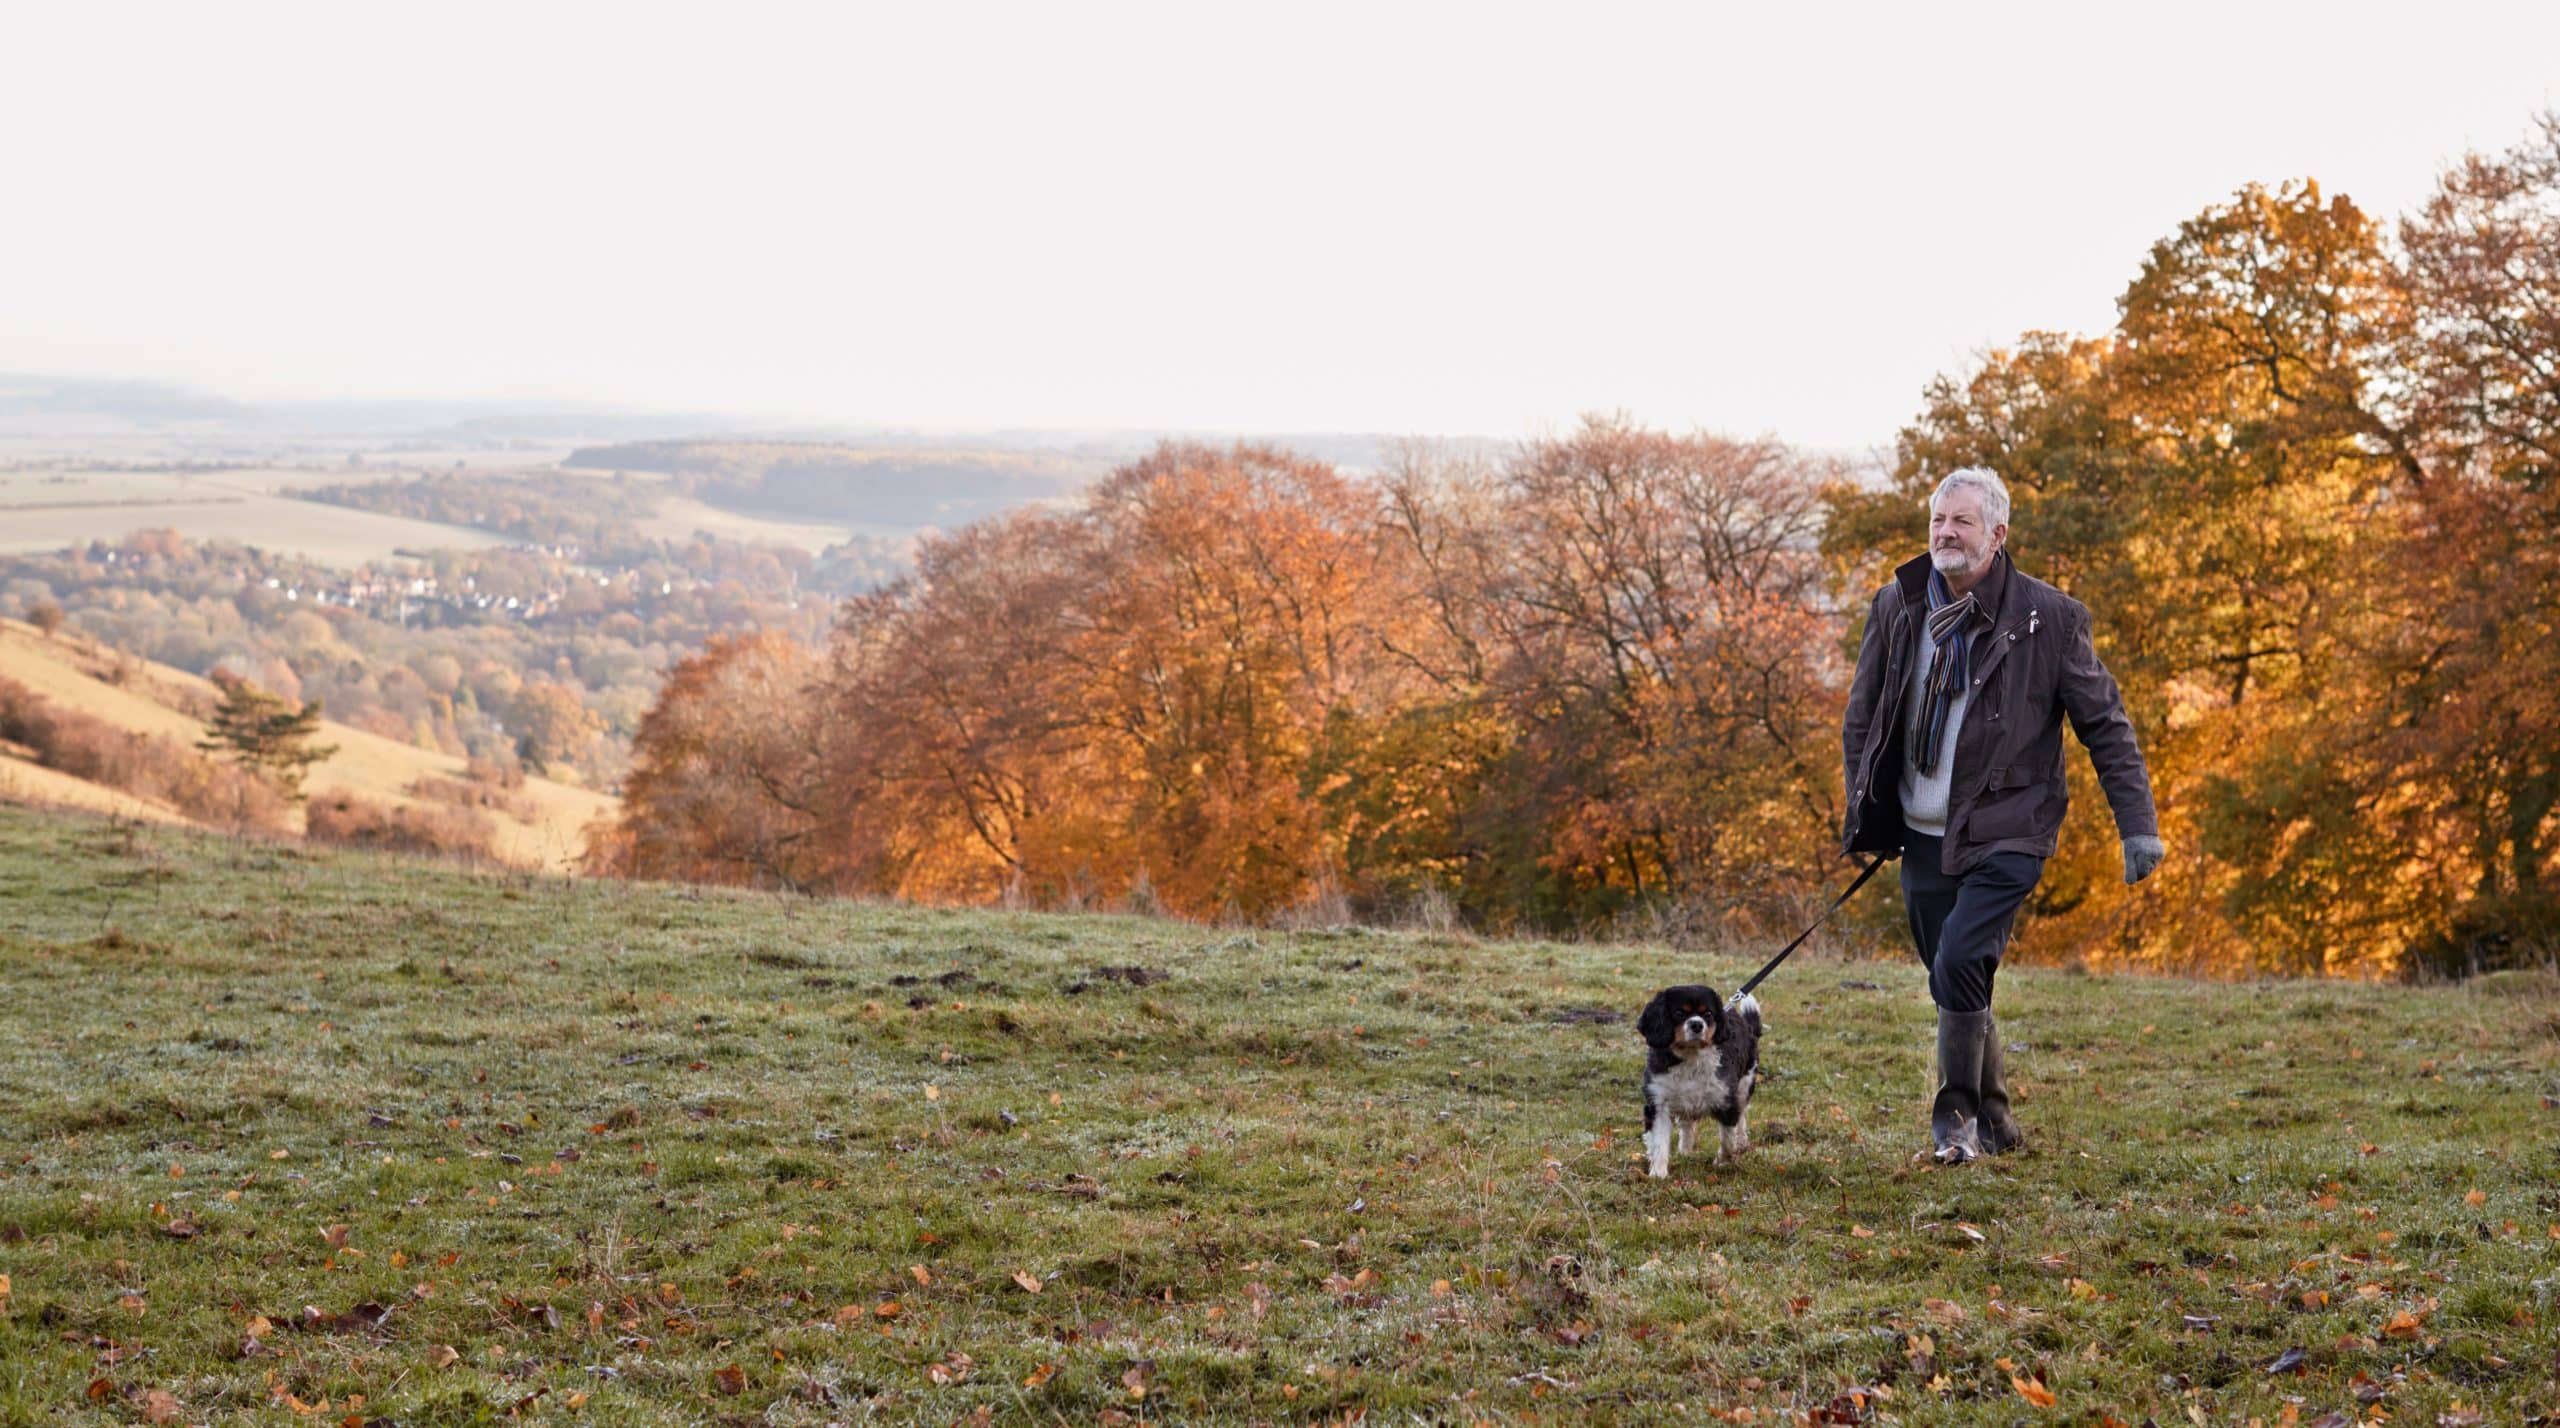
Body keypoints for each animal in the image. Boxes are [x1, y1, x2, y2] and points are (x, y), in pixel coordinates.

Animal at [1638, 992, 1761, 1182]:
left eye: (1708, 1014)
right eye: (1679, 1013)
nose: (1697, 1024)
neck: (1690, 1057)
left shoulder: (1727, 1101)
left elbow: (1728, 1139)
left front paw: (1723, 1162)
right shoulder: (1657, 1103)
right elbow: (1659, 1142)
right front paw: (1658, 1173)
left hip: (1744, 1087)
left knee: (1741, 1118)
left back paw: (1741, 1143)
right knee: (1687, 1125)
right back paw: (1685, 1151)